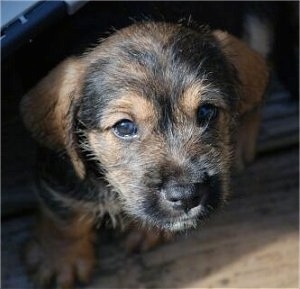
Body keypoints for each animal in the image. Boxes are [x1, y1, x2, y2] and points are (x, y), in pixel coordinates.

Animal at [21, 21, 270, 286]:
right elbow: (65, 219)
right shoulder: (61, 179)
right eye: (124, 127)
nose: (186, 195)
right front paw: (60, 260)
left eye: (206, 111)